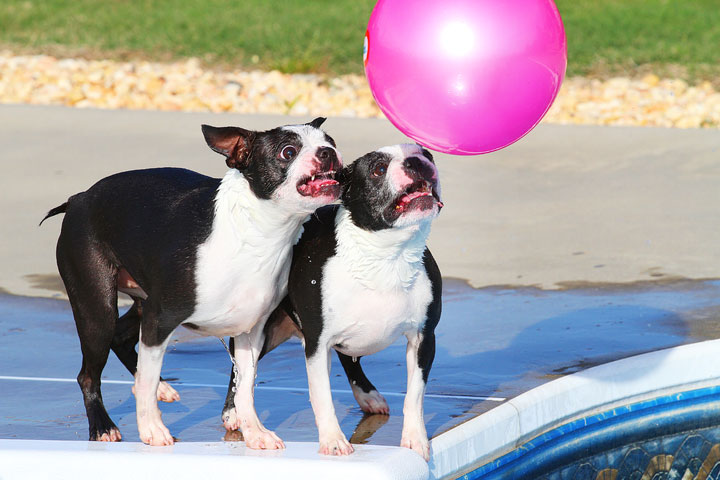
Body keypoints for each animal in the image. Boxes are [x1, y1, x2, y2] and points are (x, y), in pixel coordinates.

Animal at [40, 118, 344, 448]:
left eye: (330, 141)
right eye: (288, 152)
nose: (328, 152)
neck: (256, 234)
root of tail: (79, 198)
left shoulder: (251, 331)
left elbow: (245, 387)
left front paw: (255, 432)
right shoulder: (160, 320)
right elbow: (150, 377)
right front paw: (152, 429)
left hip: (142, 300)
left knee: (121, 337)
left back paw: (159, 388)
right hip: (97, 307)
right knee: (90, 372)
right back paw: (103, 426)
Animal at [222, 143, 442, 462]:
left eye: (427, 154)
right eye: (378, 169)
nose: (417, 161)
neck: (387, 254)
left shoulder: (423, 338)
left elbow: (414, 395)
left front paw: (414, 440)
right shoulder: (318, 343)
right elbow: (322, 395)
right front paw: (333, 441)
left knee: (349, 358)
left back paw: (368, 395)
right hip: (265, 332)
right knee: (238, 367)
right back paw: (232, 412)